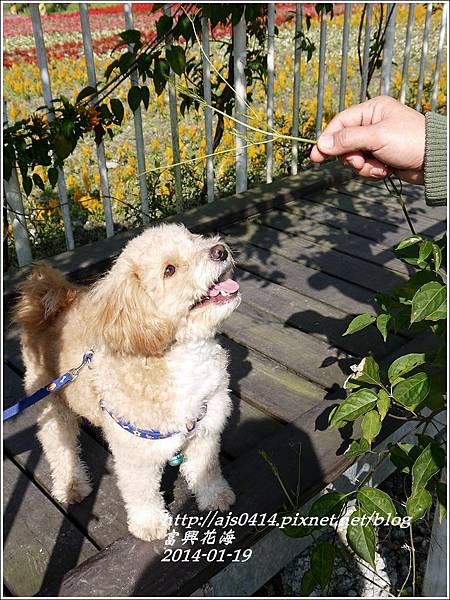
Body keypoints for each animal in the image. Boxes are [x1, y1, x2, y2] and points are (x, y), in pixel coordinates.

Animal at [14, 223, 241, 541]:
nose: (220, 250)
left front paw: (215, 496)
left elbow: (205, 469)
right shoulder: (136, 455)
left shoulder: (206, 429)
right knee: (59, 447)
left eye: (195, 238)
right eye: (169, 270)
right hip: (52, 405)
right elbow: (142, 492)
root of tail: (50, 303)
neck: (179, 356)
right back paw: (72, 485)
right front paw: (150, 524)